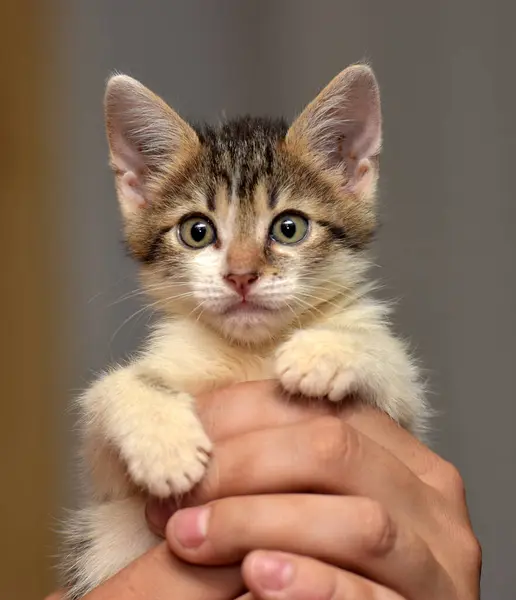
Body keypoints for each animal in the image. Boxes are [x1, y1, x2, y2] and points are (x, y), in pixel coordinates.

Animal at [59, 63, 428, 596]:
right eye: (197, 231)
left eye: (290, 228)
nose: (241, 275)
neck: (251, 349)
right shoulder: (106, 489)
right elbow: (111, 391)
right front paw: (165, 445)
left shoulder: (406, 423)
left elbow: (392, 364)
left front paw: (322, 354)